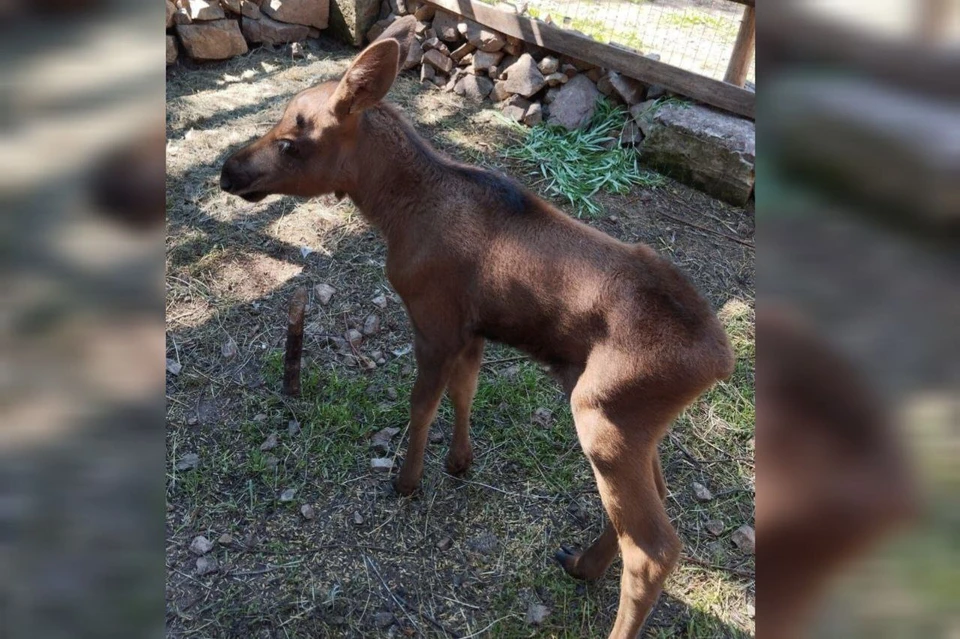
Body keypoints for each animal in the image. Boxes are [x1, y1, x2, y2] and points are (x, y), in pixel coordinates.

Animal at [223, 16, 736, 639]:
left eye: (291, 141)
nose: (228, 170)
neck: (393, 211)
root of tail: (720, 359)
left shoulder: (435, 320)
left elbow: (422, 403)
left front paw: (407, 480)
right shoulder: (473, 331)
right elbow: (464, 392)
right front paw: (458, 462)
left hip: (603, 410)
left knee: (654, 547)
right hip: (637, 422)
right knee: (654, 502)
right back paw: (581, 563)